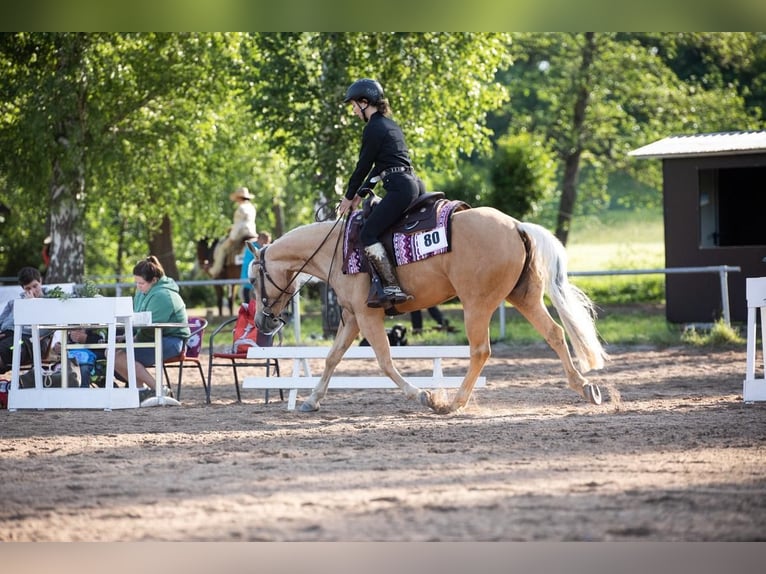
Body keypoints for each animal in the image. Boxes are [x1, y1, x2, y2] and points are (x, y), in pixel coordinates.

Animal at [249, 207, 608, 414]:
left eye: (253, 279)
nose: (262, 322)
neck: (339, 249)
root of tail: (516, 226)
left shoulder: (368, 316)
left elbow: (385, 361)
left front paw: (423, 395)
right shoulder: (351, 318)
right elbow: (332, 358)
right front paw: (311, 400)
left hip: (476, 304)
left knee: (481, 350)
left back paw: (453, 402)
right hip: (524, 297)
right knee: (555, 333)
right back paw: (585, 388)